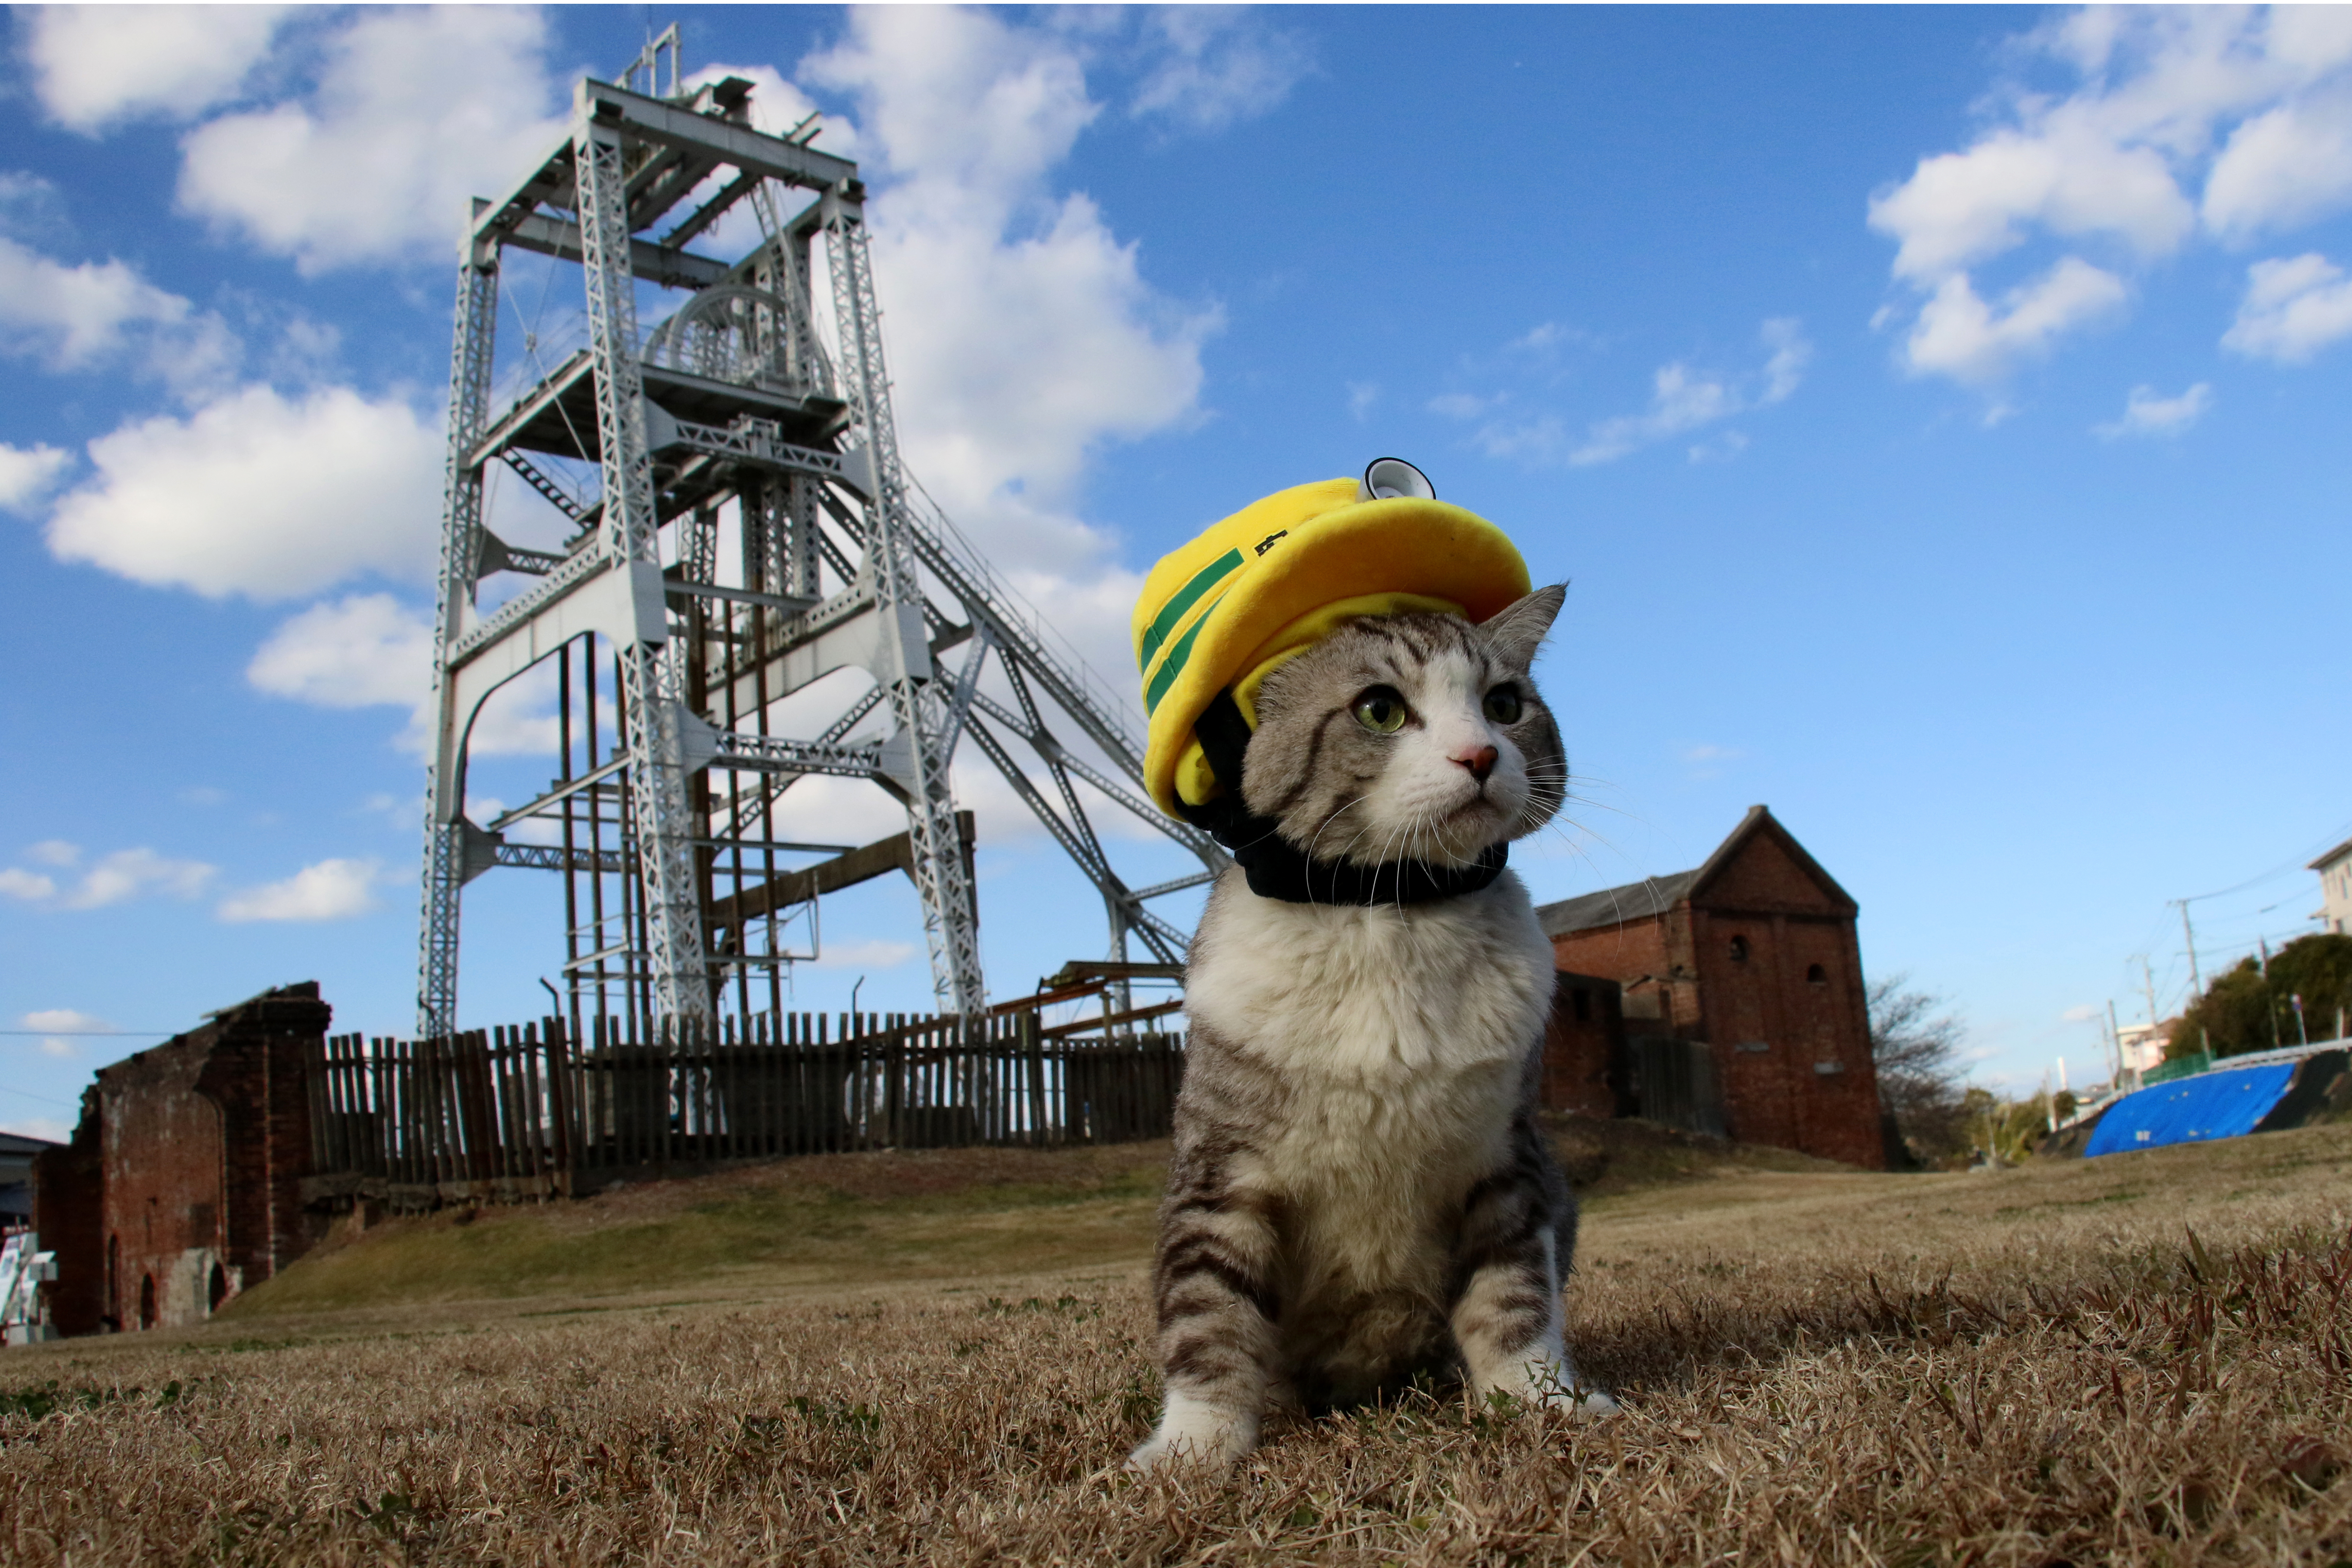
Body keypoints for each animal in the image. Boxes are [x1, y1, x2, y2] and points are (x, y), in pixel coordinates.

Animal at [1133, 583, 1618, 1476]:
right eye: (1380, 710)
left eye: (1505, 704)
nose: (1480, 755)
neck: (1391, 908)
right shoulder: (1220, 1175)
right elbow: (1208, 1314)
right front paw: (1194, 1445)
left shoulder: (1504, 1161)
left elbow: (1514, 1297)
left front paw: (1541, 1401)